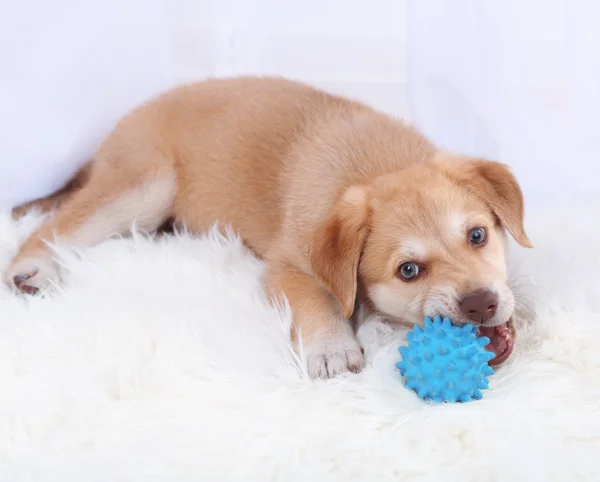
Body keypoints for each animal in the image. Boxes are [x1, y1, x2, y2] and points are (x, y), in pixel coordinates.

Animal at [4, 76, 528, 376]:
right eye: (408, 271)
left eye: (477, 236)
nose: (481, 303)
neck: (378, 168)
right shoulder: (288, 268)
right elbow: (318, 301)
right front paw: (332, 349)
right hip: (144, 187)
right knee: (56, 224)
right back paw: (31, 270)